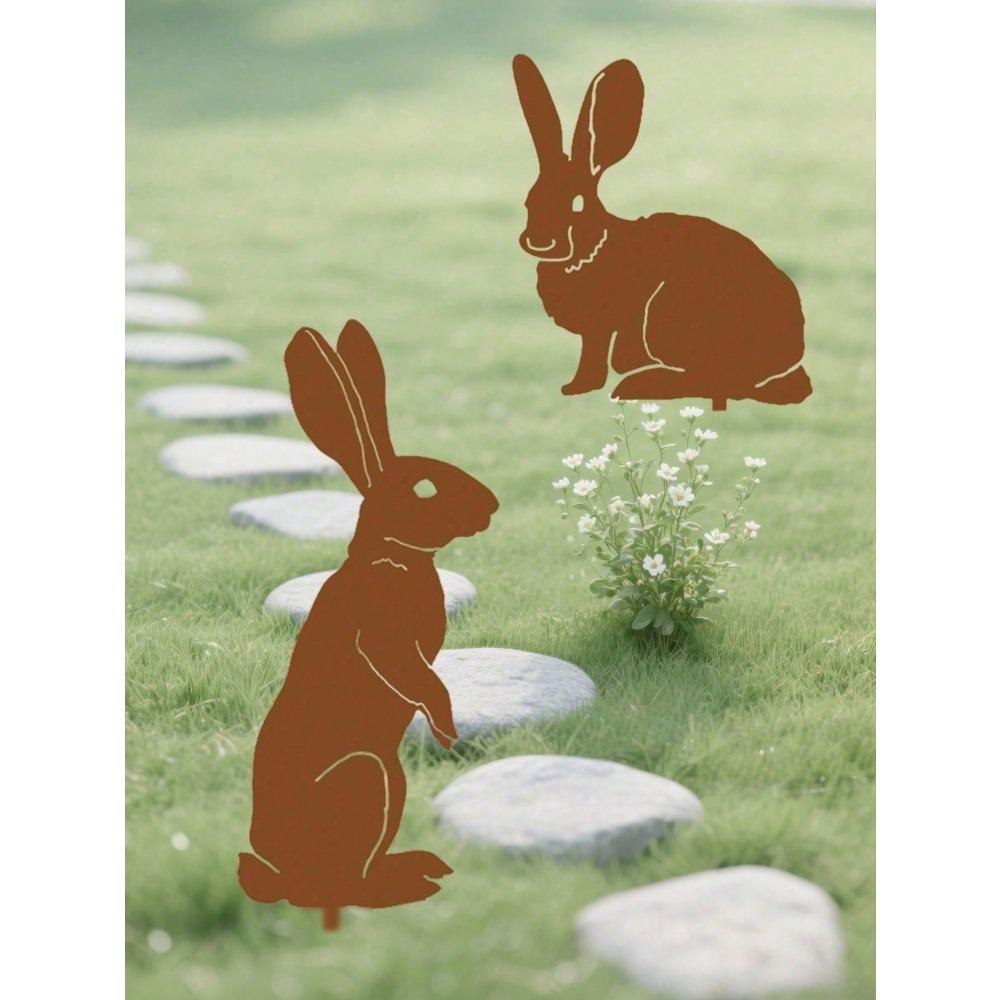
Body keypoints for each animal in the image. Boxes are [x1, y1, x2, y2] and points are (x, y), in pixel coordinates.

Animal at [238, 321, 498, 930]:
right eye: (425, 487)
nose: (493, 506)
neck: (395, 553)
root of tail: (273, 864)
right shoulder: (384, 635)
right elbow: (416, 674)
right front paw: (447, 729)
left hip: (391, 782)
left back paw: (417, 867)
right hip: (365, 776)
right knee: (332, 886)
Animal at [512, 54, 812, 410]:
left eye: (577, 204)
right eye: (529, 201)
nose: (539, 242)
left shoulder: (605, 326)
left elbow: (596, 358)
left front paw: (583, 385)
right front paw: (576, 386)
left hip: (667, 313)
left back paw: (637, 385)